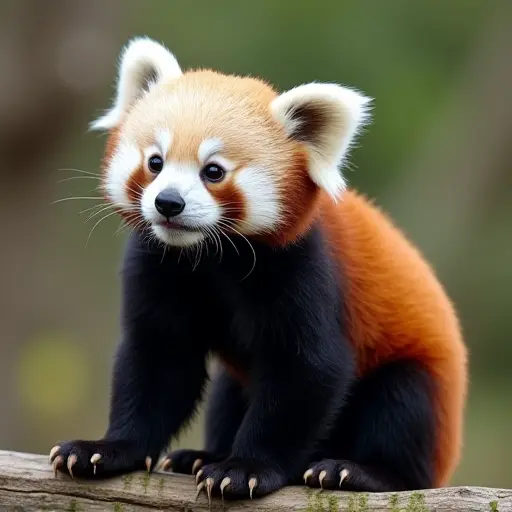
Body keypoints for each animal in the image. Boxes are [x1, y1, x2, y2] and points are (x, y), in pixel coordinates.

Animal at [50, 38, 466, 502]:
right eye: (155, 162)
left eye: (213, 171)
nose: (168, 202)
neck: (210, 257)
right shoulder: (158, 265)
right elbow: (158, 357)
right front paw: (108, 450)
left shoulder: (303, 267)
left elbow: (309, 371)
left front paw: (245, 469)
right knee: (227, 393)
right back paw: (201, 456)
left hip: (424, 384)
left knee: (402, 406)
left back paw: (359, 471)